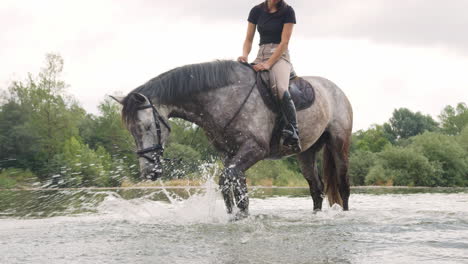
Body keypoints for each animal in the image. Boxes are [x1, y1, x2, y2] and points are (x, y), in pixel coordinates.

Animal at [111, 60, 352, 219]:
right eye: (131, 131)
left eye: (147, 127)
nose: (148, 173)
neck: (223, 97)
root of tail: (336, 90)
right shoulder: (230, 154)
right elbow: (234, 187)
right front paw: (237, 217)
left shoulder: (254, 149)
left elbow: (228, 181)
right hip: (305, 153)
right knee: (316, 189)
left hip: (339, 145)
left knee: (343, 186)